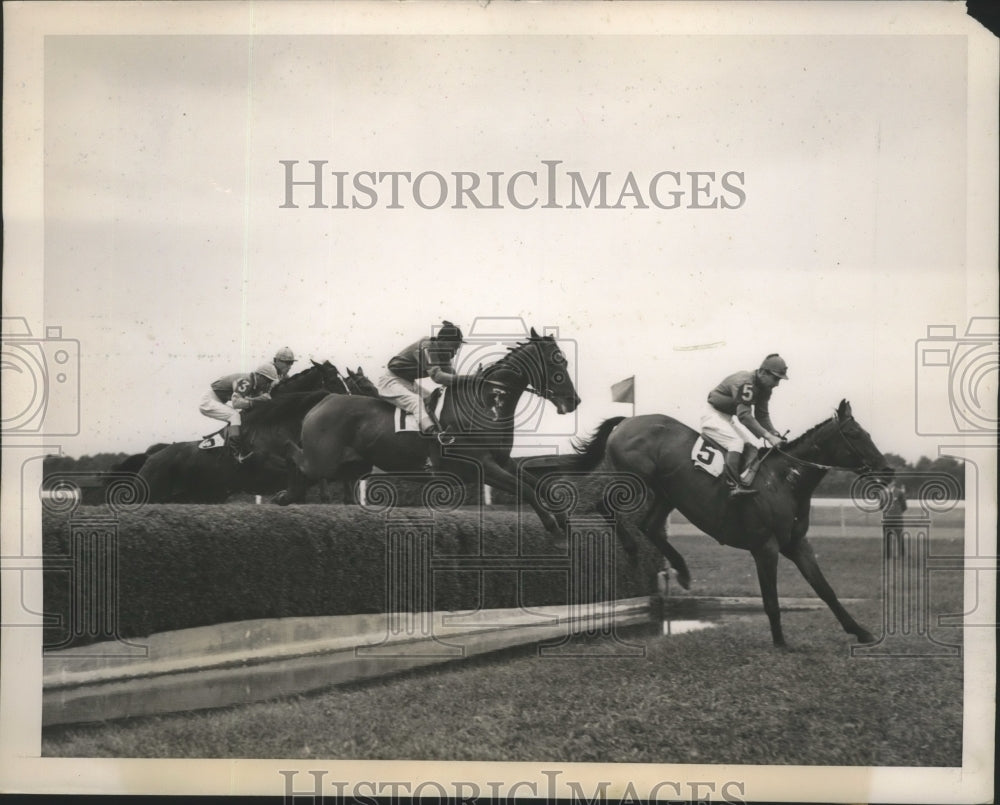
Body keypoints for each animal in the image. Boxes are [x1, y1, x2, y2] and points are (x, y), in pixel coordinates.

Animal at [278, 326, 584, 532]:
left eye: (564, 361)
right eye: (557, 362)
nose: (574, 401)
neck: (485, 405)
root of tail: (326, 398)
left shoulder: (502, 461)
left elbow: (542, 486)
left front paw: (563, 519)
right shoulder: (482, 466)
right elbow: (527, 490)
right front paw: (554, 528)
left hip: (352, 465)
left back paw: (287, 496)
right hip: (323, 461)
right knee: (294, 456)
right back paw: (284, 492)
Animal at [576, 400, 896, 648]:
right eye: (854, 433)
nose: (888, 470)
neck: (784, 480)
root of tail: (628, 421)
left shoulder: (797, 544)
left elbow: (825, 590)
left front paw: (860, 631)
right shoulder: (765, 547)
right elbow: (770, 600)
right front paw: (780, 642)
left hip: (667, 493)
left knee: (650, 527)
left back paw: (682, 570)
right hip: (636, 481)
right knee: (603, 505)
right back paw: (631, 548)